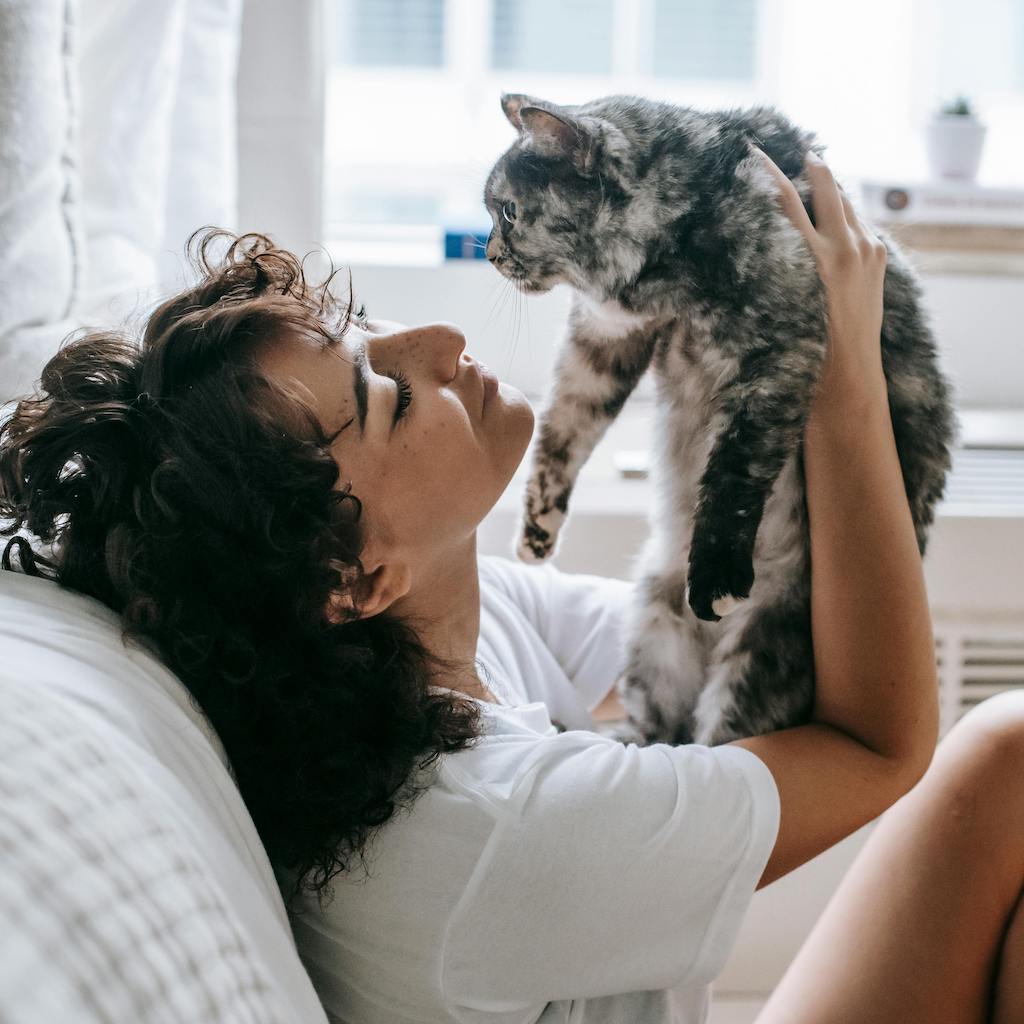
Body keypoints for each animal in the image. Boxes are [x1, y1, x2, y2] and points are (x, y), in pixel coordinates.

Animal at [483, 94, 954, 745]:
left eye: (507, 211)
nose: (488, 253)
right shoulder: (602, 342)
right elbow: (564, 430)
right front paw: (538, 529)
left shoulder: (780, 352)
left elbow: (733, 472)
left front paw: (716, 576)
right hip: (652, 628)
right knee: (665, 736)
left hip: (759, 654)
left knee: (717, 735)